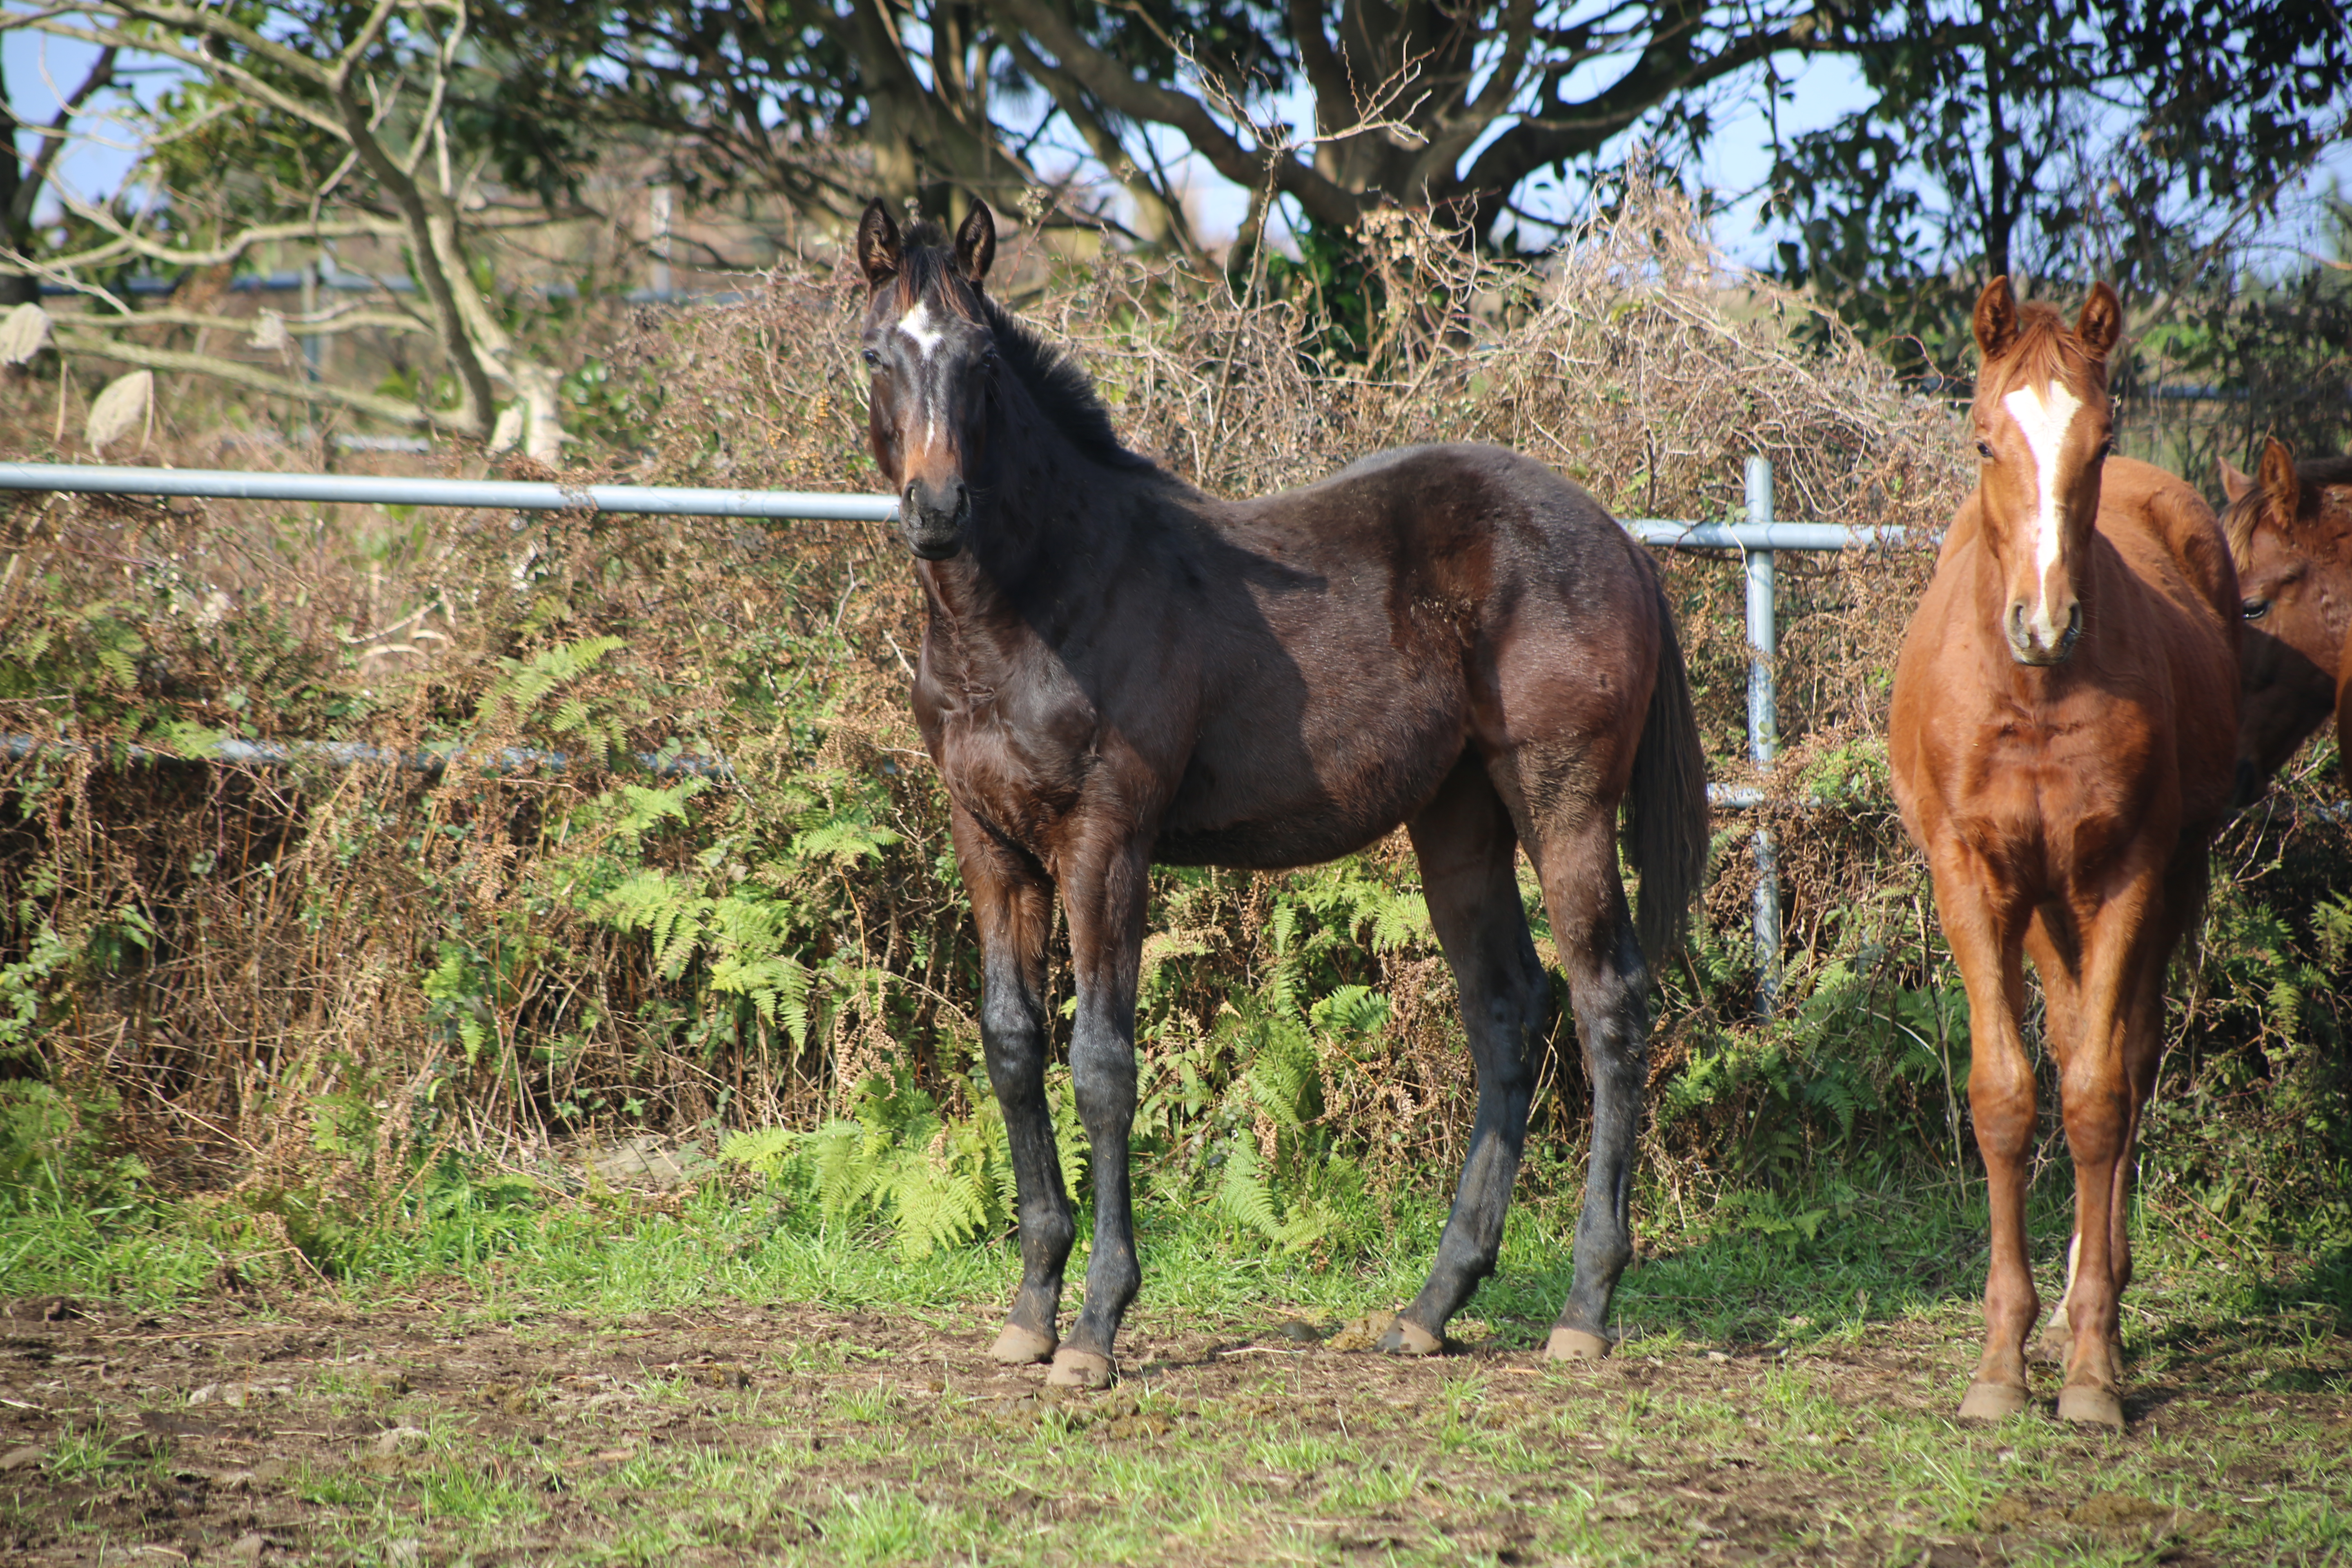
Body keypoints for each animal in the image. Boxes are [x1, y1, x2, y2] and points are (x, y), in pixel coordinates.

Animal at [856, 202, 1703, 1392]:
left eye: (977, 359)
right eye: (876, 355)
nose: (936, 511)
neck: (1034, 601)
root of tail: (1618, 536)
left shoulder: (1105, 843)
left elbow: (1101, 1065)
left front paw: (1097, 1327)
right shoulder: (990, 844)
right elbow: (1013, 1047)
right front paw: (1030, 1310)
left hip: (1562, 804)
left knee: (1607, 1002)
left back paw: (1583, 1309)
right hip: (1457, 818)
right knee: (1507, 1010)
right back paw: (1431, 1306)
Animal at [1891, 276, 2239, 1429]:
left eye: (2100, 439)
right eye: (1982, 439)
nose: (2044, 624)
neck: (2033, 696)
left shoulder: (2129, 872)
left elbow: (2094, 1098)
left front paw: (2089, 1367)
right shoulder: (1971, 877)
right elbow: (2004, 1098)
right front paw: (1999, 1362)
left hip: (2159, 882)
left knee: (2124, 1061)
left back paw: (2108, 1311)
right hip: (2044, 906)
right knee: (2073, 1038)